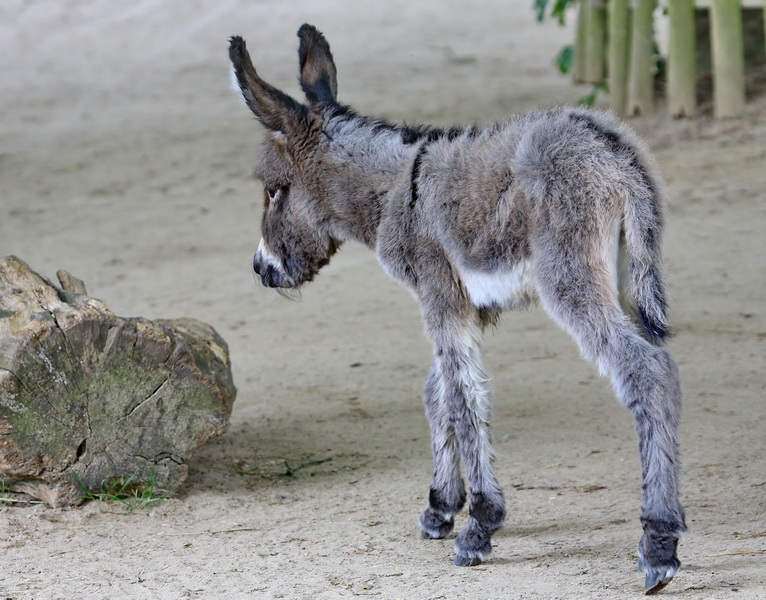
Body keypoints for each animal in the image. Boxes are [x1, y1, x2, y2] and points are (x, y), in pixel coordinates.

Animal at [230, 25, 688, 592]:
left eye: (274, 191)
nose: (260, 269)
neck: (396, 192)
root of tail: (614, 149)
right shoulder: (470, 308)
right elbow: (440, 392)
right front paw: (442, 505)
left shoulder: (439, 296)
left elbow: (464, 398)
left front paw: (480, 525)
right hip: (627, 279)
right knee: (659, 367)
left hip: (572, 281)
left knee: (647, 371)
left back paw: (659, 542)